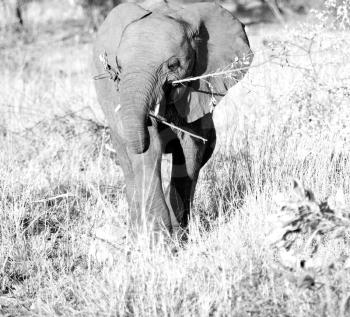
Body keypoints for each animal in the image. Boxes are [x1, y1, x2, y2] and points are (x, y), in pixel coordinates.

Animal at [91, 0, 253, 237]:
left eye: (173, 65)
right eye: (118, 67)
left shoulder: (196, 90)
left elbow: (190, 147)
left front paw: (177, 233)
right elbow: (150, 150)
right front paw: (158, 237)